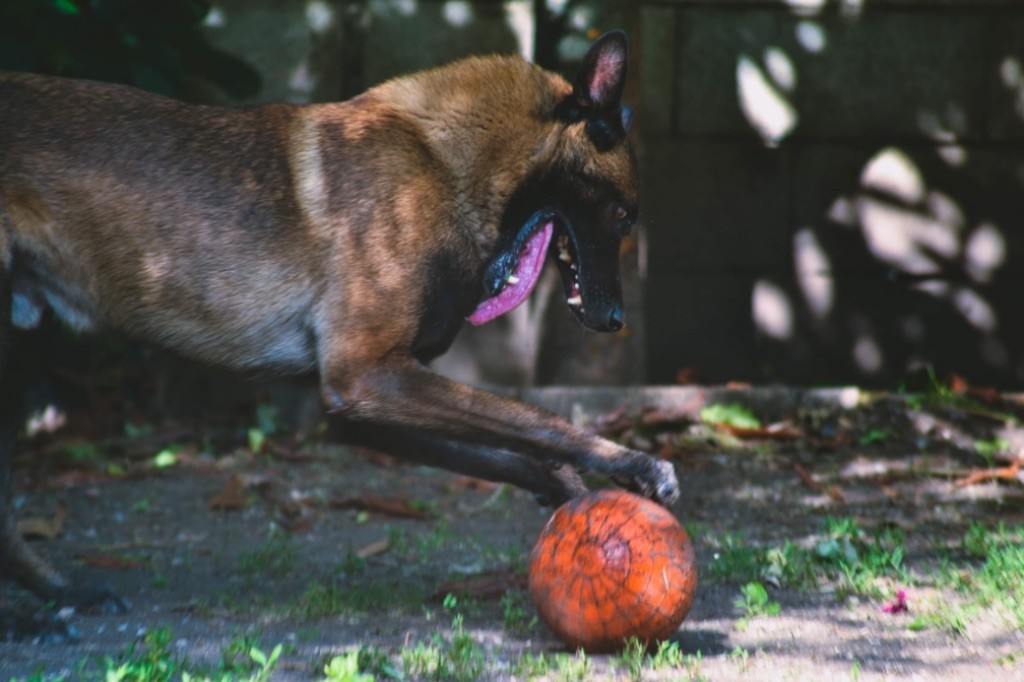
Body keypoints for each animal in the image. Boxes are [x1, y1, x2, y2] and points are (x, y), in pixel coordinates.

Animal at [0, 30, 679, 638]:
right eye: (624, 217)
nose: (615, 321)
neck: (445, 162)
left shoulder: (357, 408)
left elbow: (503, 443)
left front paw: (560, 485)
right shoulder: (367, 377)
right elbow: (539, 419)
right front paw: (635, 464)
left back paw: (60, 595)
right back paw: (32, 616)